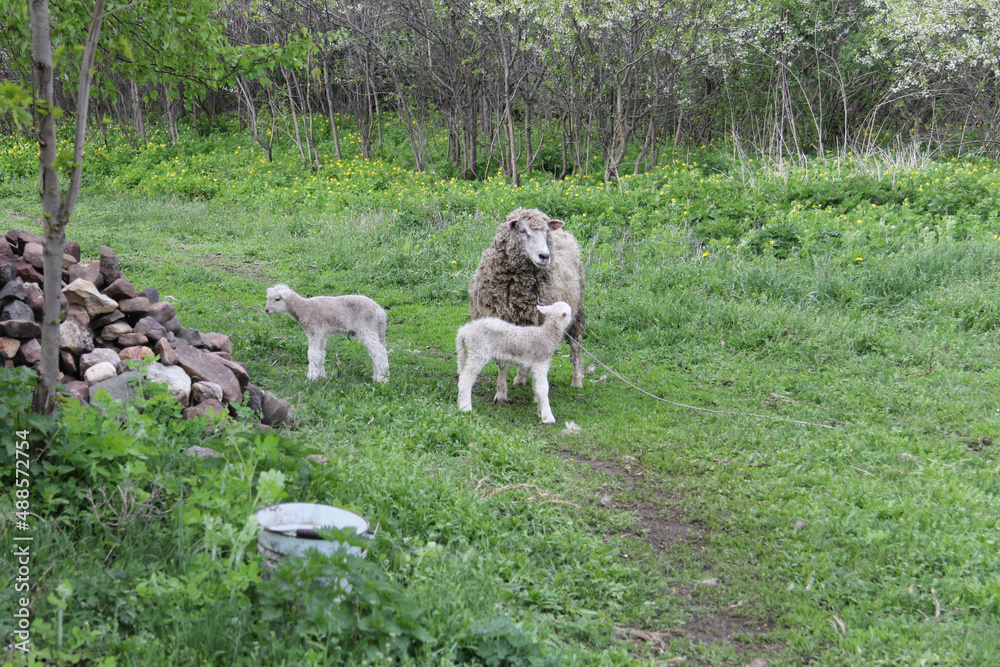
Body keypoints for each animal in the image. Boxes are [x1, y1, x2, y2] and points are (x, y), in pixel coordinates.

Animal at [468, 208, 585, 404]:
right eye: (523, 231)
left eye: (546, 231)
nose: (544, 256)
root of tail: (565, 233)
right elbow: (502, 362)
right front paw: (501, 393)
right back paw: (520, 377)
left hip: (576, 309)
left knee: (576, 345)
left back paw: (577, 380)